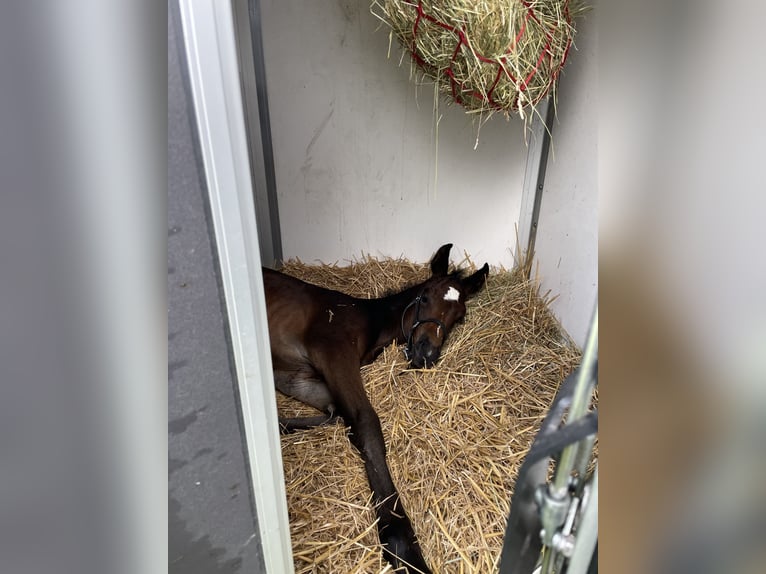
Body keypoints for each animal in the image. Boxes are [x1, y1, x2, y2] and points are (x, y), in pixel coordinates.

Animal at [264, 245, 492, 572]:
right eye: (425, 296)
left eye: (460, 317)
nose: (425, 353)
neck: (368, 320)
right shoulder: (333, 352)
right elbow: (366, 424)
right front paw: (402, 544)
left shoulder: (295, 376)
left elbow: (336, 415)